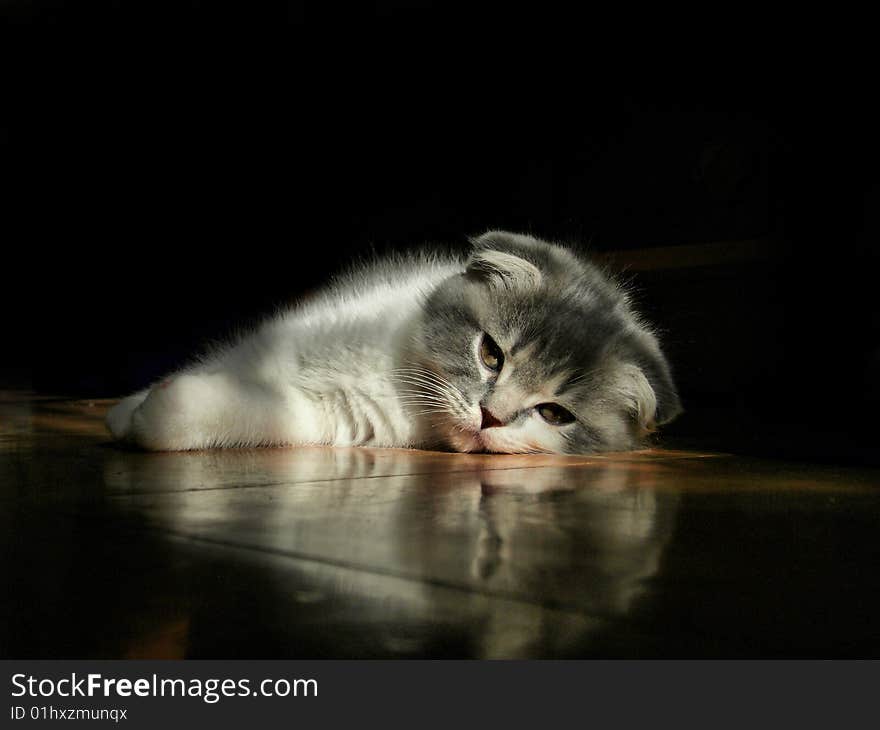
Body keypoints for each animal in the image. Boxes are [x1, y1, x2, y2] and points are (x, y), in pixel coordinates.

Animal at [105, 230, 680, 452]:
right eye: (490, 354)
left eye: (555, 414)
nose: (490, 417)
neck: (396, 368)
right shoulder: (284, 337)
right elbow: (228, 360)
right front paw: (126, 407)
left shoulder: (334, 417)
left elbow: (260, 411)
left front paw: (158, 414)